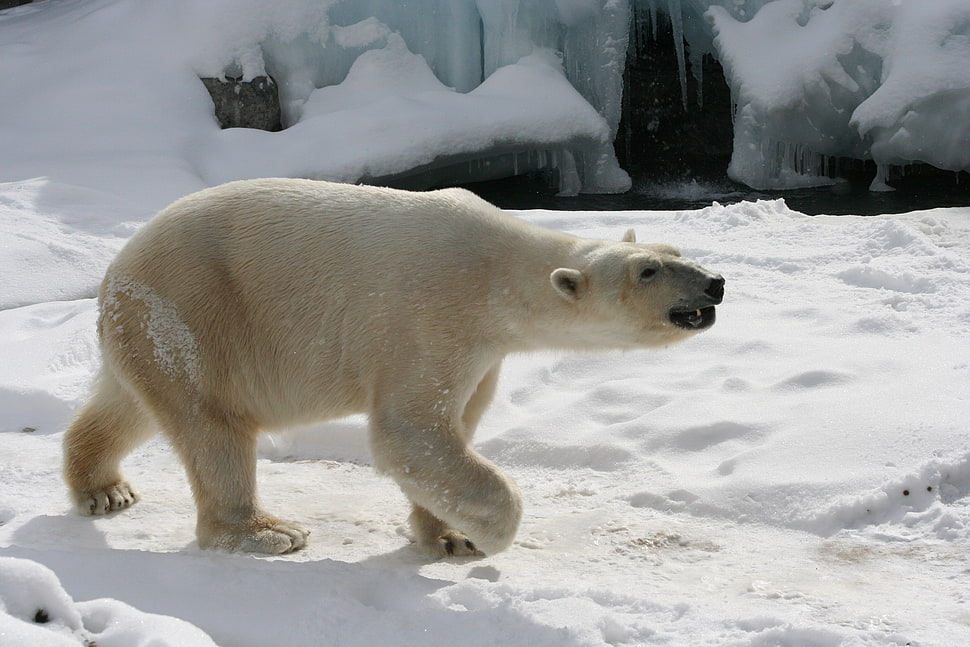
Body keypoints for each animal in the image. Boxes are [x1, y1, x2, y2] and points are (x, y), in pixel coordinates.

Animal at [63, 178, 724, 558]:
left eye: (674, 252)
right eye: (647, 270)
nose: (715, 283)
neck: (496, 271)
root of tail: (115, 272)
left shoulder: (482, 350)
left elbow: (454, 429)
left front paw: (448, 534)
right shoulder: (431, 315)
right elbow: (410, 433)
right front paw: (487, 534)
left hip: (151, 329)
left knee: (128, 404)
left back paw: (104, 488)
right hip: (194, 313)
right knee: (212, 427)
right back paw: (267, 532)